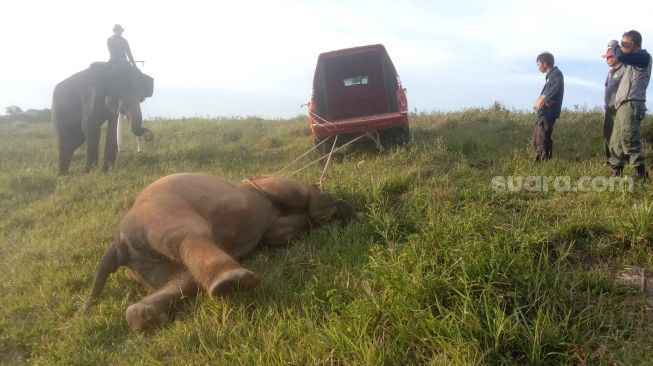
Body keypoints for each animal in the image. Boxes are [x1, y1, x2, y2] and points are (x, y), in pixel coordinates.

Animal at [80, 174, 362, 334]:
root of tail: (118, 242)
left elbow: (276, 233)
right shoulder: (266, 186)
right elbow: (295, 195)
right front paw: (333, 209)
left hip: (147, 263)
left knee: (182, 279)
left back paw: (146, 319)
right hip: (161, 214)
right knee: (188, 238)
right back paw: (233, 283)